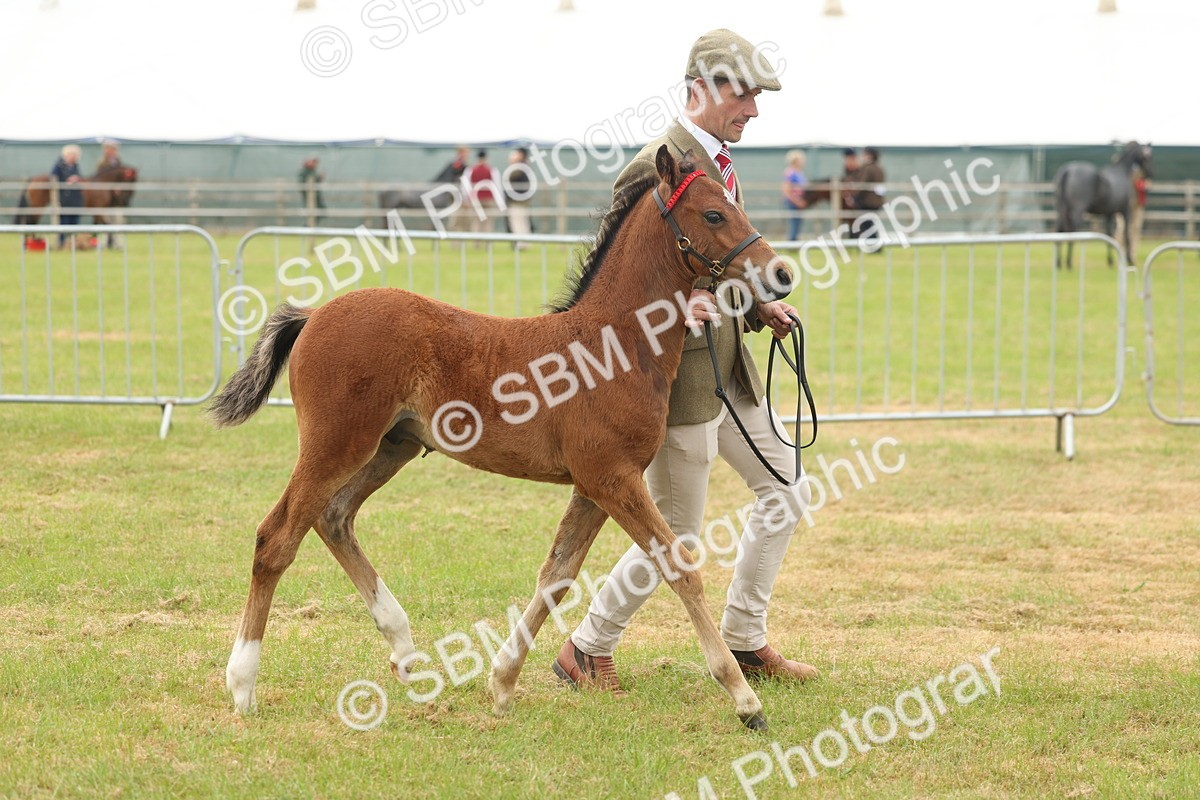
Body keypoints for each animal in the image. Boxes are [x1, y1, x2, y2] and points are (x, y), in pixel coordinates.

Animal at [209, 146, 794, 730]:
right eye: (714, 214)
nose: (782, 273)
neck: (615, 345)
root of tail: (314, 315)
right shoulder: (613, 479)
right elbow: (679, 569)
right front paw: (745, 699)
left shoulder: (594, 485)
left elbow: (557, 573)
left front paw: (502, 682)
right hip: (336, 444)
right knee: (276, 537)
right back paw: (242, 685)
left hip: (391, 447)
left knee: (333, 518)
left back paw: (405, 651)